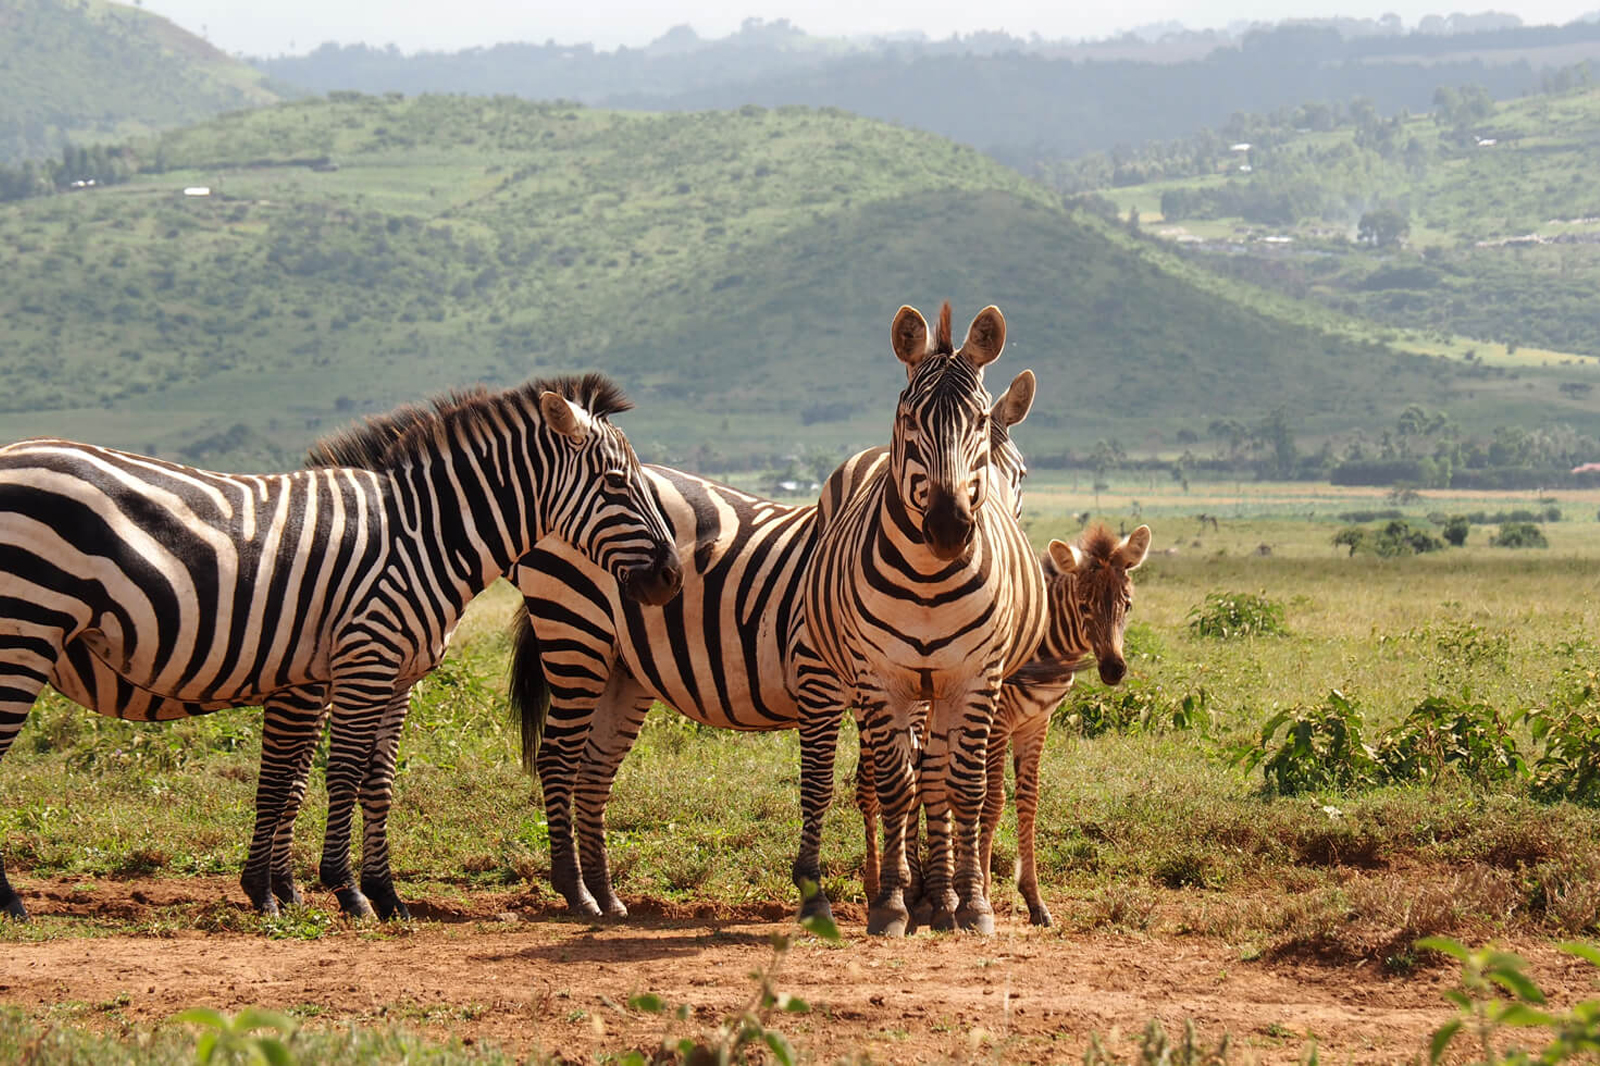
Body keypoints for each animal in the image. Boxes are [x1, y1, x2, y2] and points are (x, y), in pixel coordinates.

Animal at [0, 369, 681, 915]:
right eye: (617, 484)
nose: (673, 577)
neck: (422, 533)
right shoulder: (361, 661)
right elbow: (337, 773)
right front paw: (342, 890)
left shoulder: (392, 675)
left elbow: (366, 779)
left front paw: (378, 893)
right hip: (23, 630)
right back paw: (11, 904)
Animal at [512, 371, 1036, 915]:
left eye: (1019, 475)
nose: (957, 537)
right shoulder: (819, 677)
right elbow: (827, 783)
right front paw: (842, 890)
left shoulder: (905, 690)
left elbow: (897, 781)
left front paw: (911, 890)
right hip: (575, 633)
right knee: (558, 758)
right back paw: (575, 891)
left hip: (623, 669)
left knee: (594, 769)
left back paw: (605, 893)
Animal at [790, 299, 1049, 928]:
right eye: (909, 417)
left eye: (978, 421)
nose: (950, 528)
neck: (930, 578)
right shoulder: (881, 679)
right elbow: (893, 786)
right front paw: (892, 900)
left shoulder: (977, 678)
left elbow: (965, 787)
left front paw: (968, 900)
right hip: (846, 677)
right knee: (849, 780)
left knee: (932, 774)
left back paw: (936, 888)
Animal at [864, 521, 1152, 921]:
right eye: (1084, 606)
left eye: (1127, 604)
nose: (1113, 670)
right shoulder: (998, 721)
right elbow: (993, 799)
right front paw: (980, 891)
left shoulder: (1036, 722)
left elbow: (1028, 800)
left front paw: (1033, 899)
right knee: (871, 788)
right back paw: (879, 890)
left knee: (919, 781)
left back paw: (920, 890)